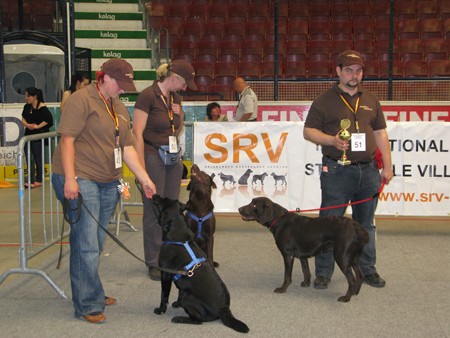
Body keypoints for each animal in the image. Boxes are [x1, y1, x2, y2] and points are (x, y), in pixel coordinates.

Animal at [151, 194, 250, 334]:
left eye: (162, 200)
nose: (154, 195)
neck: (179, 237)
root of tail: (224, 309)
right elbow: (176, 292)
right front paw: (177, 303)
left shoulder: (165, 274)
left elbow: (163, 296)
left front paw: (160, 310)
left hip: (187, 296)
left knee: (198, 321)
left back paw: (179, 318)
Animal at [239, 197, 370, 302]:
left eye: (254, 205)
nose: (239, 208)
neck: (279, 220)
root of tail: (357, 227)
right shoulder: (303, 256)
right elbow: (306, 271)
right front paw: (306, 284)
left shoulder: (288, 255)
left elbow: (287, 276)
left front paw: (282, 289)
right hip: (353, 257)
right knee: (360, 275)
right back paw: (355, 292)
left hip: (342, 257)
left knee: (352, 279)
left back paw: (346, 298)